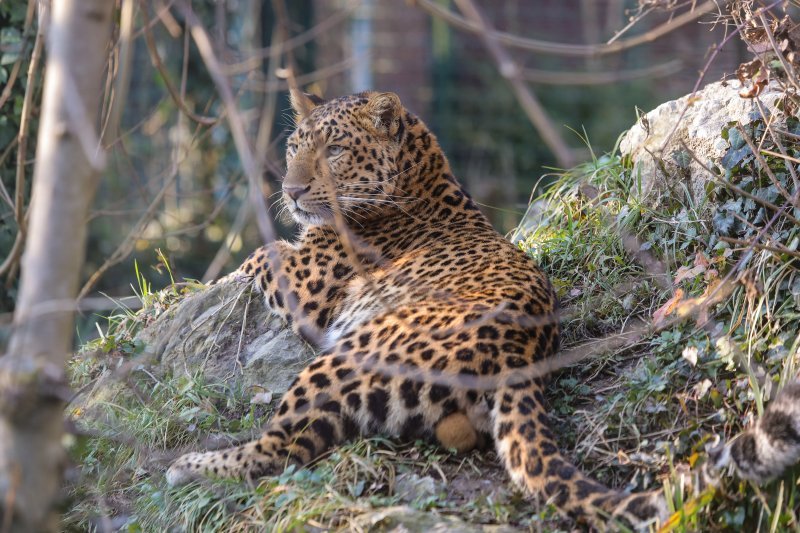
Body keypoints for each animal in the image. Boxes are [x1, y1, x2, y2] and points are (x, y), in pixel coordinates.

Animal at [164, 89, 668, 524]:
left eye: (334, 150)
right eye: (293, 148)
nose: (290, 191)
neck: (418, 178)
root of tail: (519, 355)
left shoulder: (307, 286)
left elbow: (262, 253)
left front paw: (207, 281)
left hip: (346, 357)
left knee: (282, 450)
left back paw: (189, 466)